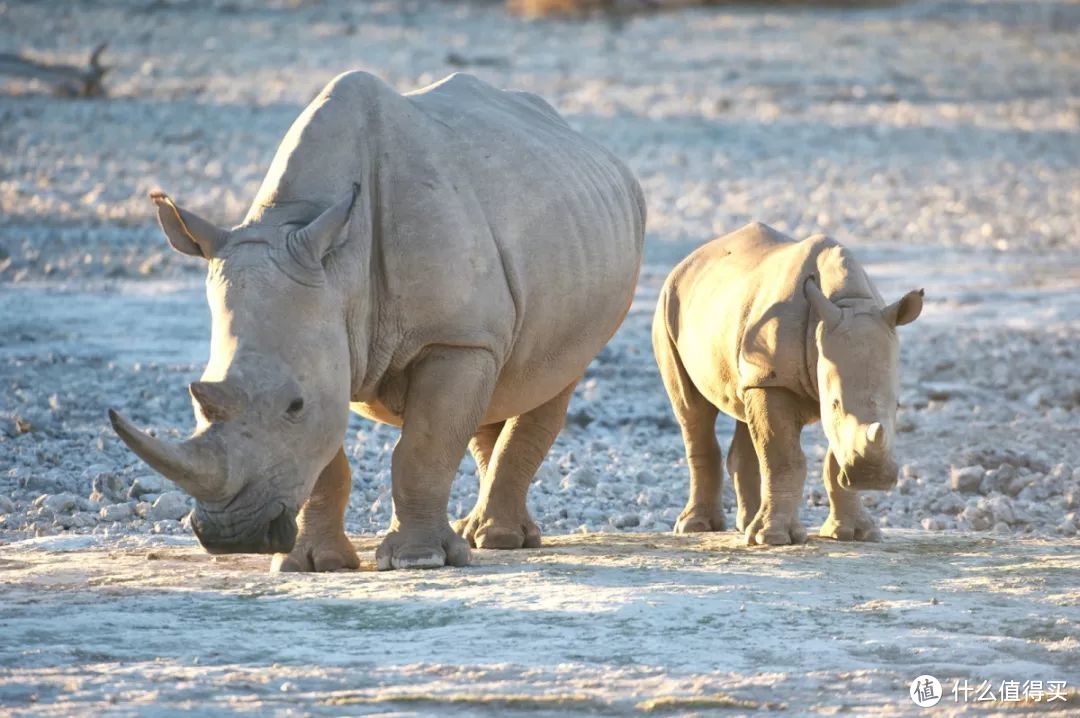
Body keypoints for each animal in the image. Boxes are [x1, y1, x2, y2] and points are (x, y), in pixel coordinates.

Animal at [111, 72, 639, 570]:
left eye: (294, 405)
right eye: (197, 404)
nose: (231, 535)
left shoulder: (452, 338)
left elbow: (423, 447)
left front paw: (418, 559)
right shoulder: (332, 340)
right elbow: (328, 458)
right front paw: (312, 564)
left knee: (552, 379)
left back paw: (500, 540)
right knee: (499, 386)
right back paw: (478, 533)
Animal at [648, 222, 920, 544]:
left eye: (898, 405)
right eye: (835, 404)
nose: (871, 476)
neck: (847, 300)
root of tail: (688, 260)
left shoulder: (784, 373)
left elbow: (832, 457)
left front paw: (856, 533)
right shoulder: (775, 380)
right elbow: (784, 458)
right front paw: (773, 538)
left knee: (744, 406)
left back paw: (746, 526)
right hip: (669, 304)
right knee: (692, 411)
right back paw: (697, 527)